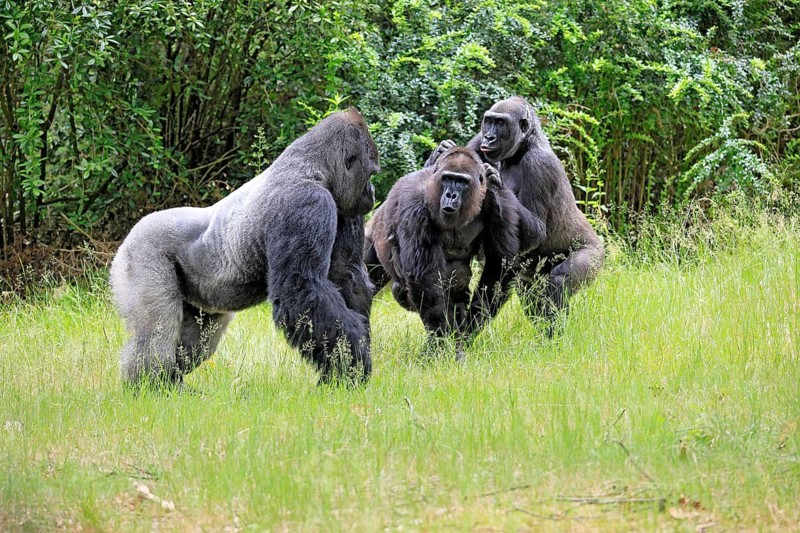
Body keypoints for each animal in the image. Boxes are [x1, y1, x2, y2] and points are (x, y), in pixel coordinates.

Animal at [110, 109, 380, 387]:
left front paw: (342, 369)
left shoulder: (343, 207)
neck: (311, 166)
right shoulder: (307, 201)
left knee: (198, 341)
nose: (371, 192)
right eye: (371, 173)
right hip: (142, 250)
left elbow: (347, 276)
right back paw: (152, 384)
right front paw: (349, 367)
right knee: (156, 331)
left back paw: (172, 382)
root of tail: (133, 232)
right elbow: (302, 290)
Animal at [365, 146, 544, 346]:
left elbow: (499, 267)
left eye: (462, 182)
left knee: (458, 273)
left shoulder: (498, 201)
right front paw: (441, 341)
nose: (451, 195)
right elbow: (425, 279)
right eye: (447, 178)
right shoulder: (414, 203)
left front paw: (468, 330)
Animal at [425, 97, 603, 330]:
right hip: (530, 278)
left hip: (595, 255)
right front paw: (441, 150)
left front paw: (494, 181)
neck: (522, 148)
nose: (489, 137)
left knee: (558, 283)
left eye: (501, 123)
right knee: (533, 300)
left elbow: (537, 231)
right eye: (489, 121)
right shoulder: (478, 143)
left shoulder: (540, 164)